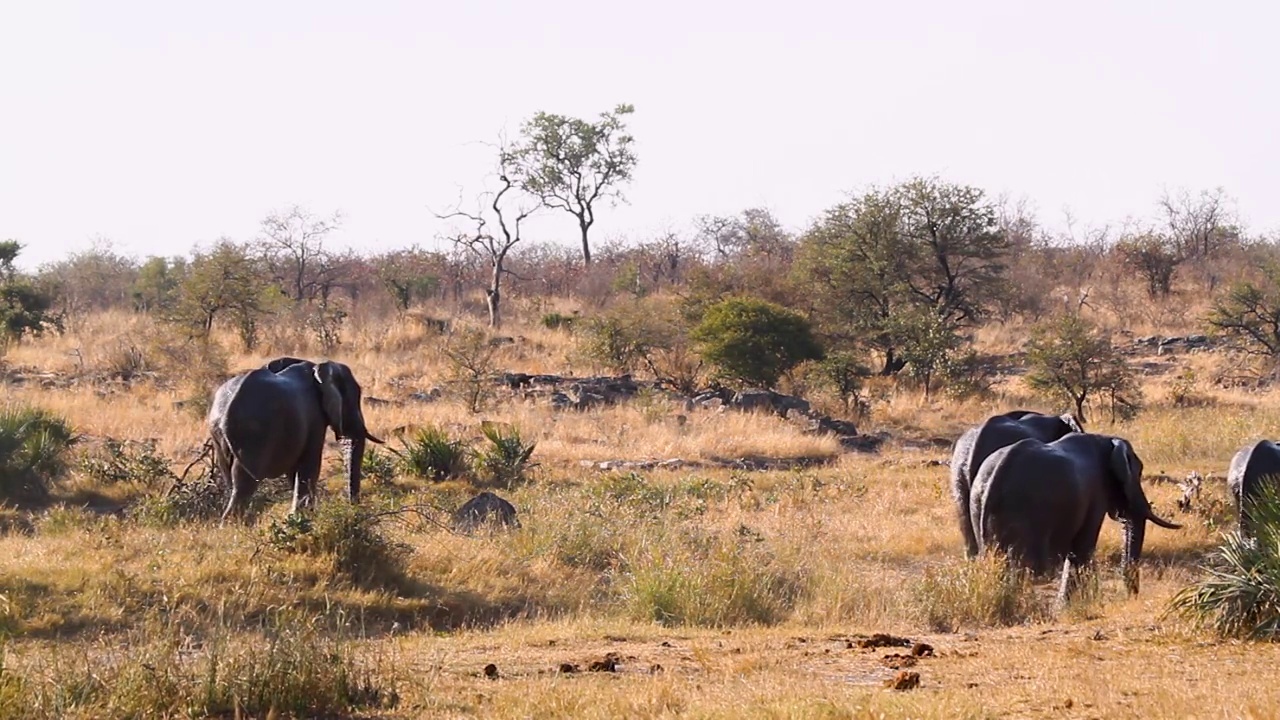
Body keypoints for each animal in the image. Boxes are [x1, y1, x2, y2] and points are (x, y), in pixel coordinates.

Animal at [206, 356, 378, 517]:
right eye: (354, 397)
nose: (352, 506)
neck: (318, 368)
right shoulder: (314, 418)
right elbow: (310, 466)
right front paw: (302, 517)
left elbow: (294, 472)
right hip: (250, 435)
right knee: (244, 486)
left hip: (218, 436)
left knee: (231, 482)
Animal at [967, 430, 1177, 599]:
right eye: (1138, 472)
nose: (1131, 597)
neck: (1106, 440)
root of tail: (996, 475)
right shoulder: (1095, 493)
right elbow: (1083, 548)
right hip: (1022, 512)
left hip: (977, 502)